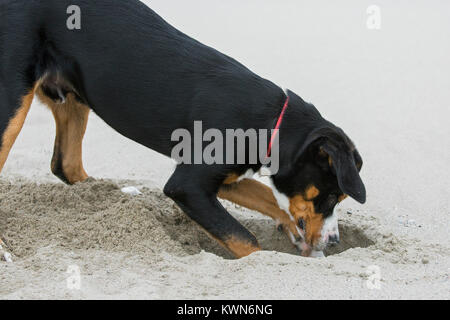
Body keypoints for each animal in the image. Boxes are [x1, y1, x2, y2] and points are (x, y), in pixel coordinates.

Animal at [0, 0, 366, 258]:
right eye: (331, 195)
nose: (335, 242)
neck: (269, 122)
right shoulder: (189, 186)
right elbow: (248, 242)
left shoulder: (224, 181)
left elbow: (269, 198)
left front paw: (296, 233)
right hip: (14, 100)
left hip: (73, 96)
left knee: (66, 164)